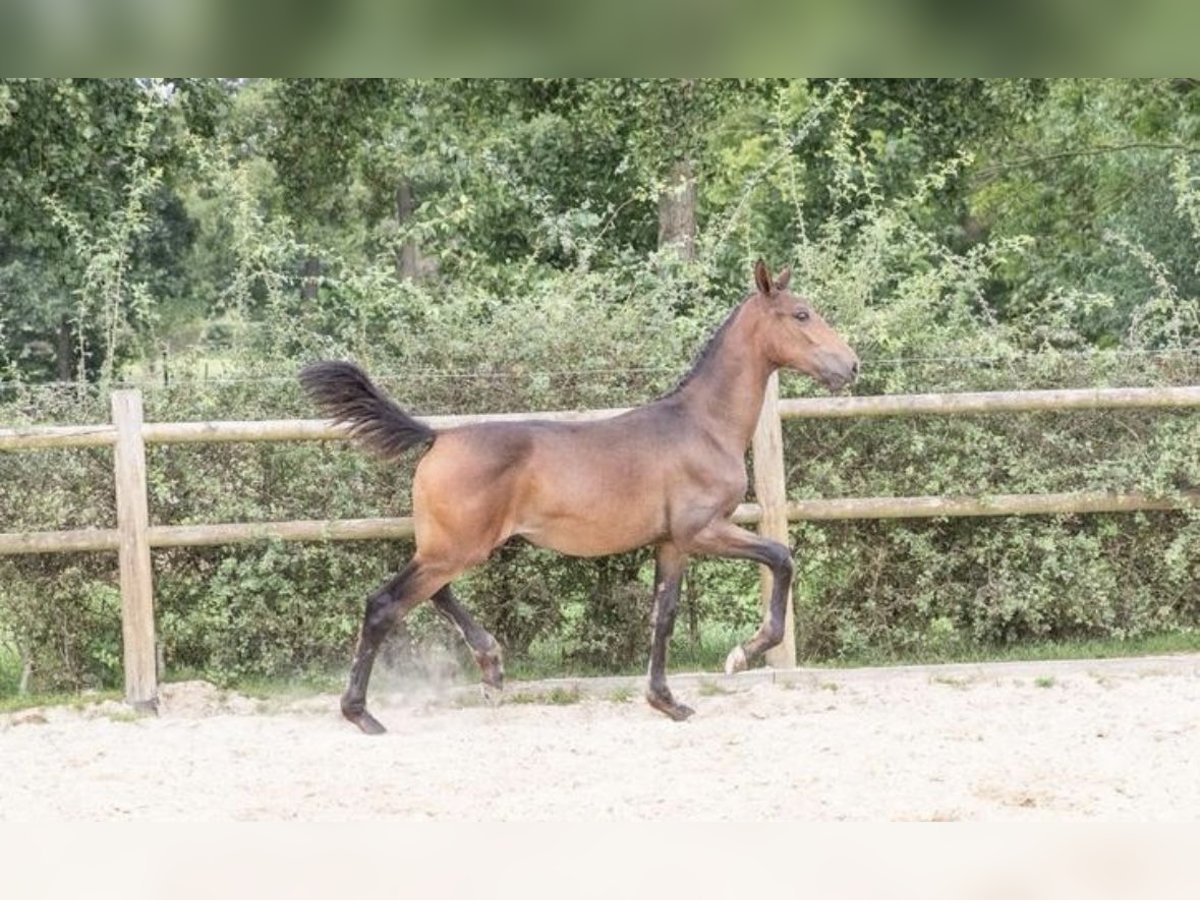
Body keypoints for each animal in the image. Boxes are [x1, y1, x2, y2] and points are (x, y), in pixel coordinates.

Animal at [304, 259, 859, 734]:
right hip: (455, 549)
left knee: (434, 595)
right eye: (801, 313)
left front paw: (667, 701)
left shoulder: (671, 544)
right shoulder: (703, 530)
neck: (702, 426)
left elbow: (663, 616)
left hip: (450, 546)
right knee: (384, 604)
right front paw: (744, 654)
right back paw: (362, 713)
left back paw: (491, 668)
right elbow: (782, 557)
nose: (851, 365)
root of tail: (437, 436)